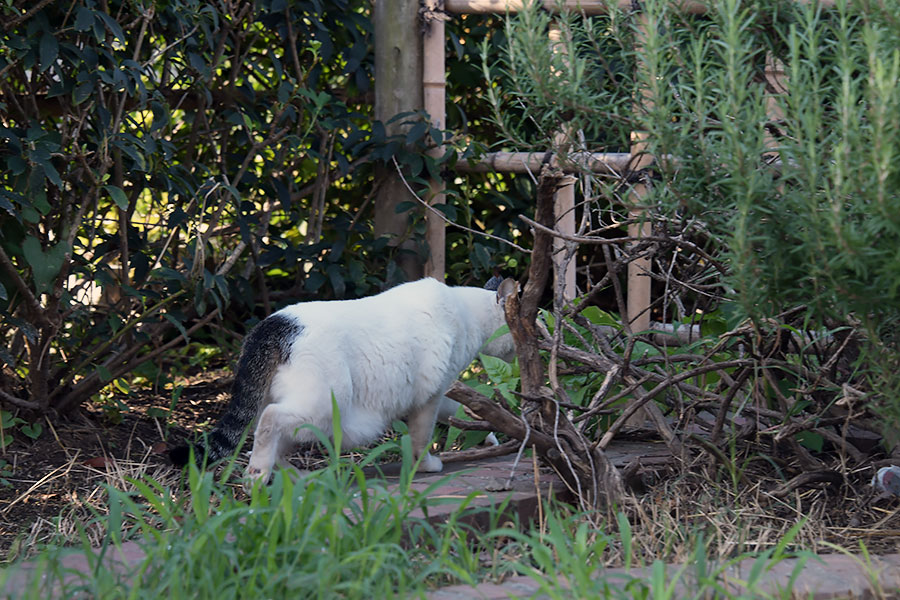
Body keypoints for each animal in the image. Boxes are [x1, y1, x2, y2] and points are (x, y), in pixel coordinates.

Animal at [171, 278, 516, 486]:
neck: (466, 313)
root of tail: (274, 326)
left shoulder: (443, 390)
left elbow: (458, 411)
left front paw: (488, 434)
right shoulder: (428, 396)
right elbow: (422, 437)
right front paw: (427, 465)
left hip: (289, 407)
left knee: (273, 438)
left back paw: (299, 476)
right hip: (322, 407)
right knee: (270, 422)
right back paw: (257, 474)